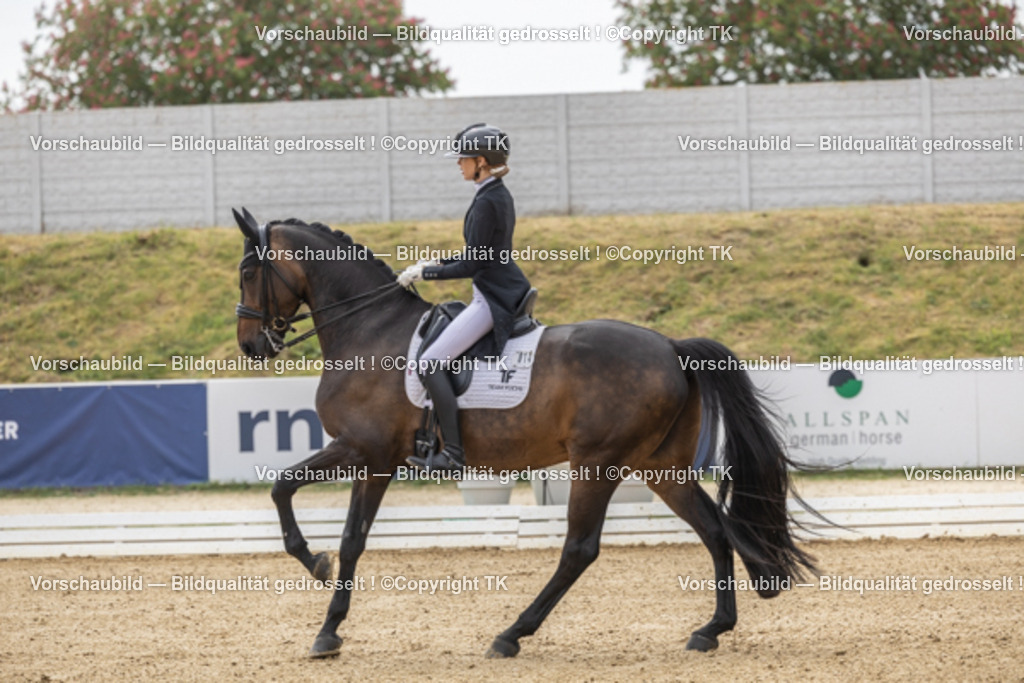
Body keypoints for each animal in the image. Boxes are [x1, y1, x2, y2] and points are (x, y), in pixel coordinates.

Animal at [231, 207, 821, 659]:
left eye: (248, 272)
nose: (251, 346)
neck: (368, 330)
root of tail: (671, 347)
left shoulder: (367, 453)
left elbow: (329, 523)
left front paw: (323, 603)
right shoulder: (363, 455)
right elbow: (303, 503)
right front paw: (322, 593)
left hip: (599, 463)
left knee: (580, 550)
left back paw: (512, 634)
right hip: (660, 467)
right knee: (715, 530)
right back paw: (711, 630)